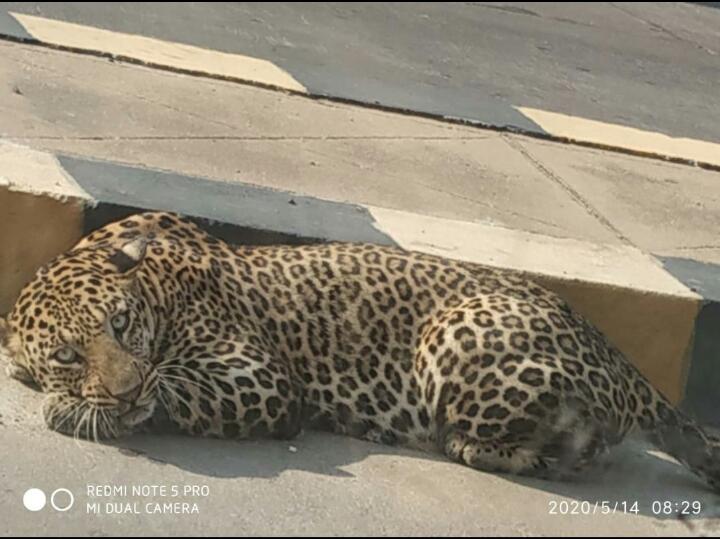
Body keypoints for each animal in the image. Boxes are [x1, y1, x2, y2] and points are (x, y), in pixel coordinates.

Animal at [1, 211, 718, 491]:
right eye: (66, 354)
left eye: (122, 324)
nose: (124, 391)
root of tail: (619, 358)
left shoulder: (260, 379)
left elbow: (174, 388)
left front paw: (82, 410)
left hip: (453, 333)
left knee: (541, 446)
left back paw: (467, 445)